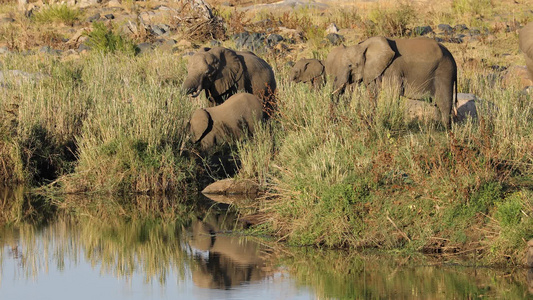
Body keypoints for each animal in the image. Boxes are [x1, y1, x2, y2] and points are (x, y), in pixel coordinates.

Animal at [324, 36, 458, 127]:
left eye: (350, 65)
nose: (335, 120)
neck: (363, 45)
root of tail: (453, 60)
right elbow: (374, 93)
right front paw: (372, 120)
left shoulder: (393, 70)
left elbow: (392, 94)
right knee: (436, 105)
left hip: (444, 73)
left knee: (444, 103)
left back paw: (445, 129)